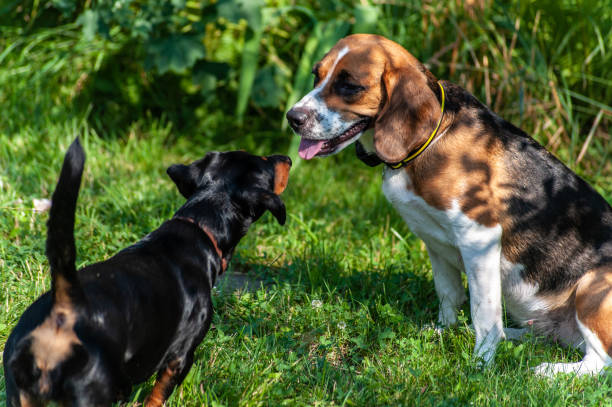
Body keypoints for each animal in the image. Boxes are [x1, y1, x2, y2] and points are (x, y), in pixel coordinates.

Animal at [3, 139, 292, 406]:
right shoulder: (181, 357)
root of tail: (64, 308)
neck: (200, 226)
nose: (288, 158)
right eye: (265, 161)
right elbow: (157, 396)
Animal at [286, 34, 612, 376]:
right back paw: (512, 336)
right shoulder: (434, 241)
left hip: (592, 286)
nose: (292, 118)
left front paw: (481, 363)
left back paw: (549, 370)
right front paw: (446, 331)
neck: (430, 138)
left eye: (349, 86)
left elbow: (483, 313)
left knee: (599, 362)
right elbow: (449, 294)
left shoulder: (479, 238)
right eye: (316, 75)